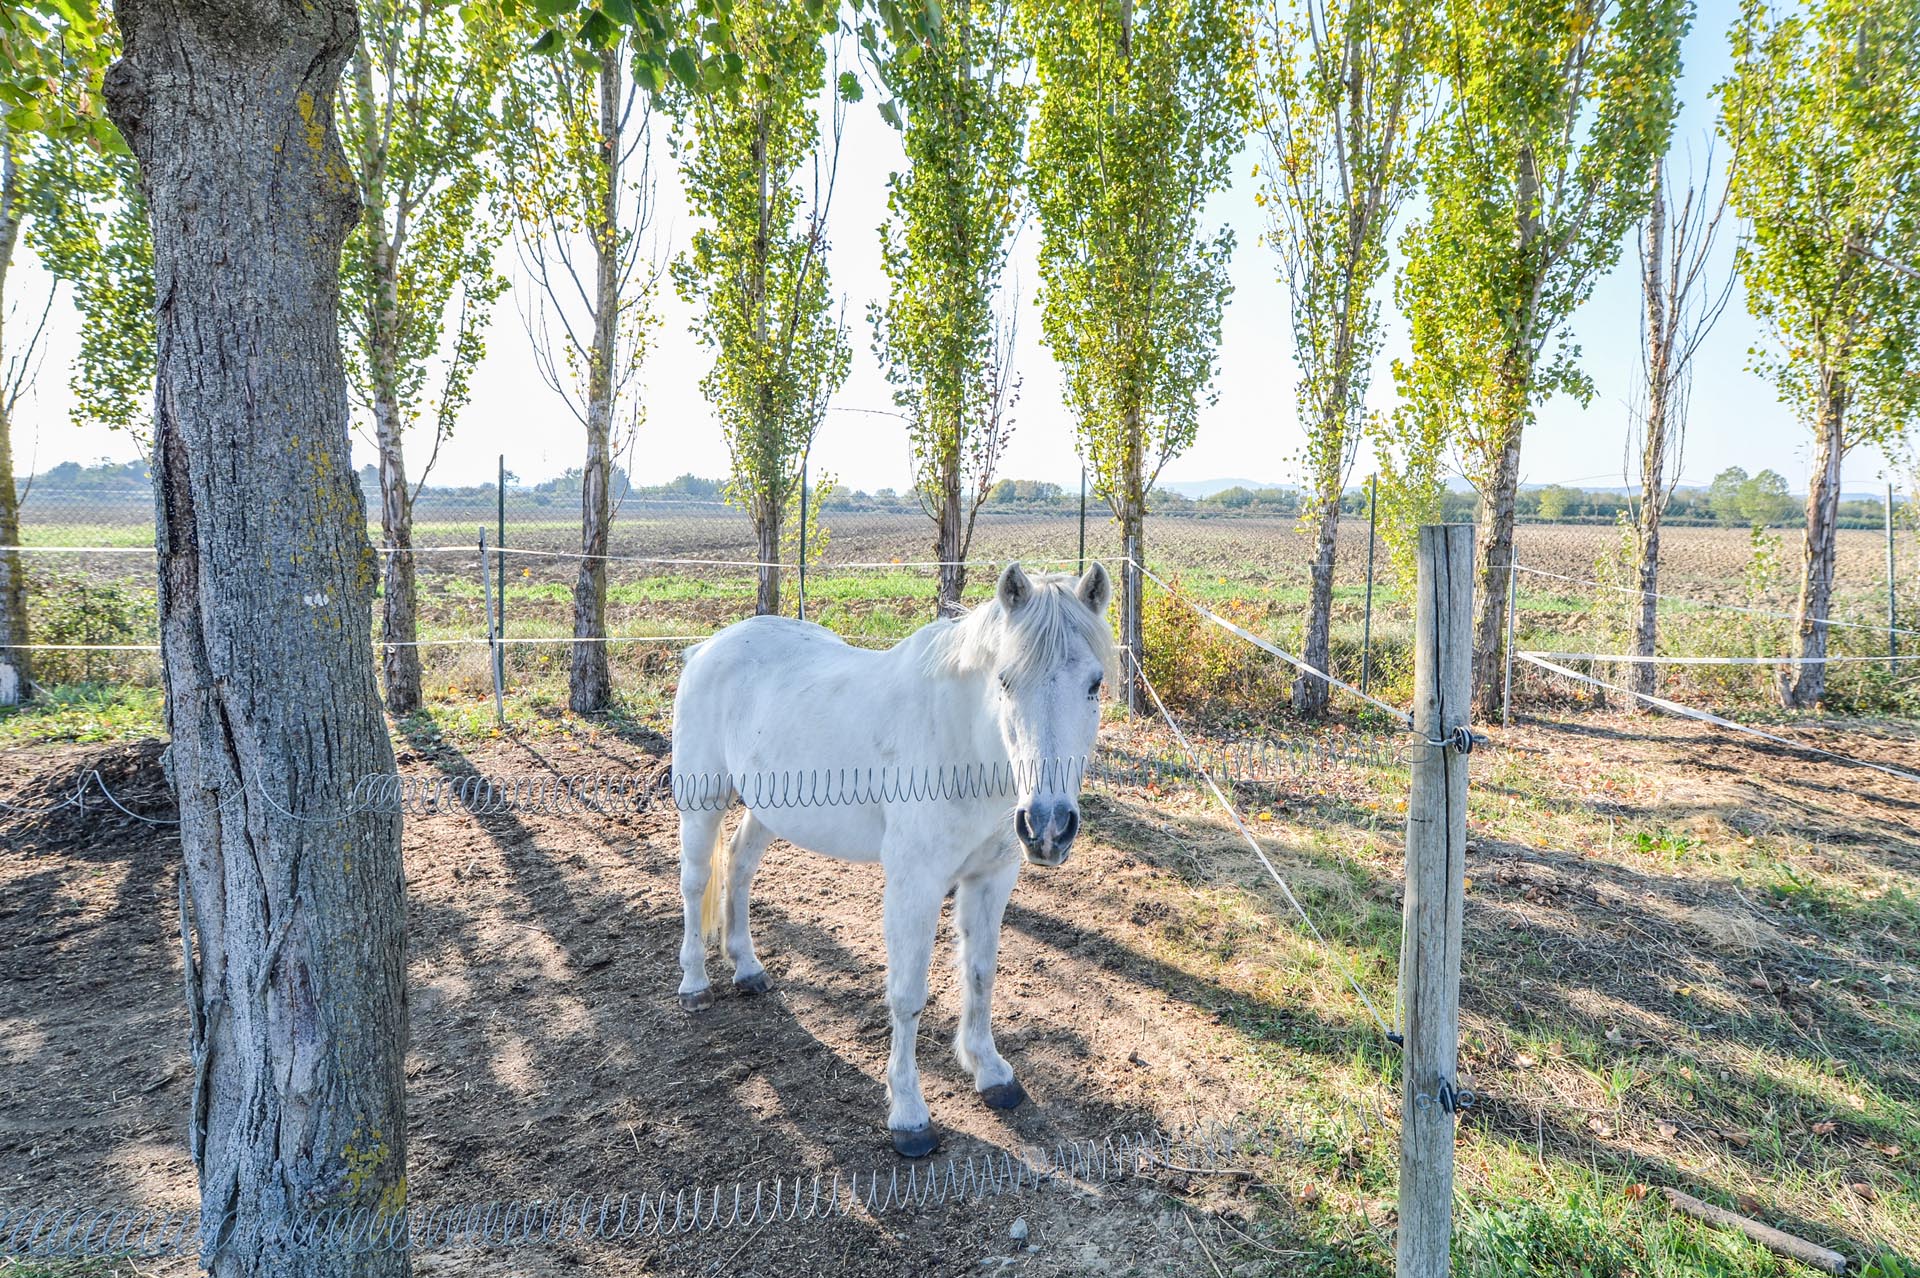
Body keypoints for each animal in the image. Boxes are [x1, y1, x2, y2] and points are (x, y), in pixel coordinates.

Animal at [671, 561, 1115, 1157]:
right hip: (702, 803)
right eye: (1004, 681)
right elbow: (908, 995)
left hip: (769, 809)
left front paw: (991, 1072)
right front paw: (909, 1115)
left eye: (1094, 684)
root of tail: (707, 647)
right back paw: (695, 985)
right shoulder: (915, 884)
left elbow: (981, 973)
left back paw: (748, 969)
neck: (961, 747)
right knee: (696, 883)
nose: (1048, 826)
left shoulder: (993, 877)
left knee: (739, 868)